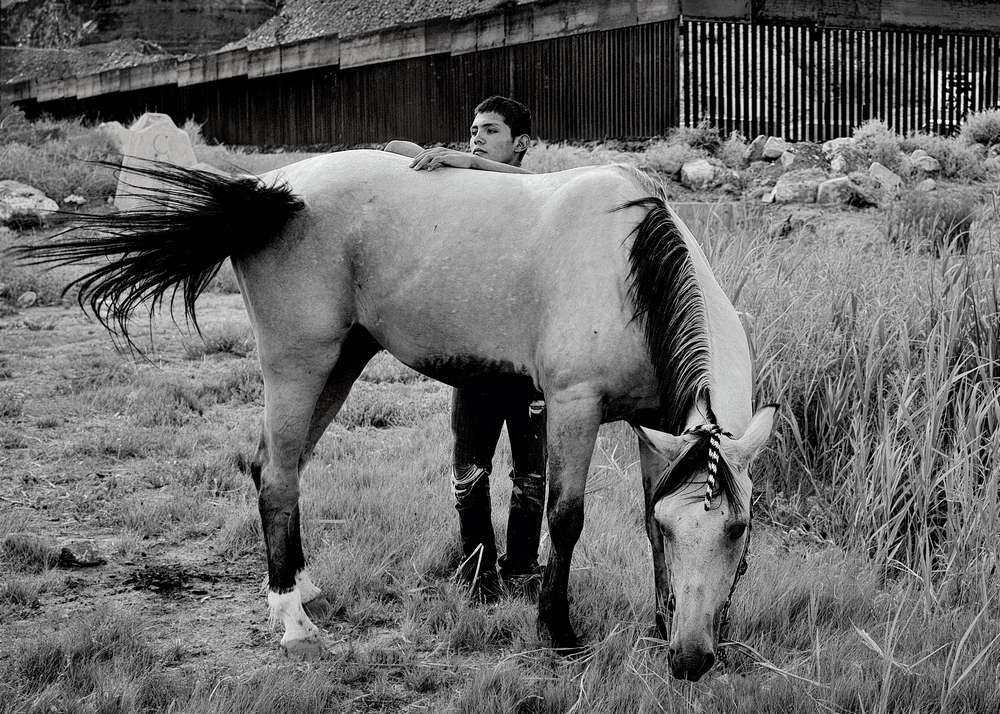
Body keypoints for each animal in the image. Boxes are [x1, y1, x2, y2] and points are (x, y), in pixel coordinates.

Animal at [11, 150, 776, 681]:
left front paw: (656, 622)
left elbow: (642, 514)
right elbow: (567, 518)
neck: (630, 266)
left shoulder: (656, 428)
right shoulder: (573, 407)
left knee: (277, 466)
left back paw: (302, 587)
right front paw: (557, 631)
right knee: (276, 473)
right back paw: (292, 621)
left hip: (342, 362)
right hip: (299, 362)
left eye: (737, 530)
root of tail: (275, 186)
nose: (691, 659)